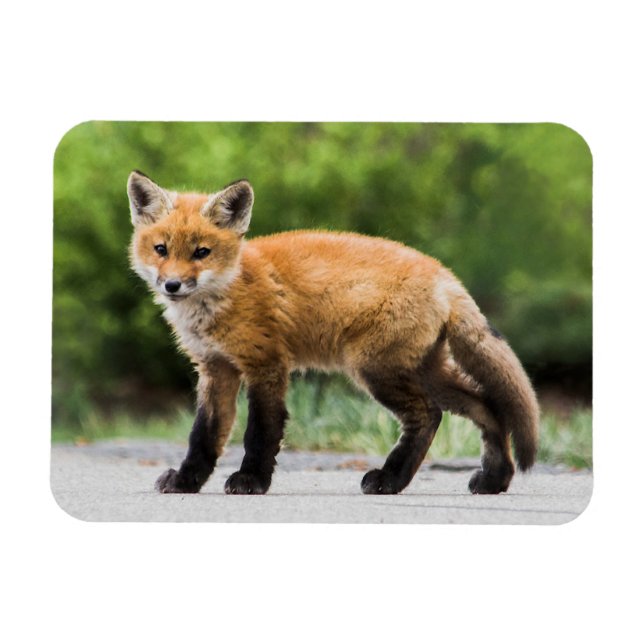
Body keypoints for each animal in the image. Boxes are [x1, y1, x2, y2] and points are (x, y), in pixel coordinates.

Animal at [127, 170, 540, 496]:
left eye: (202, 252)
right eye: (161, 249)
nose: (173, 285)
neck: (227, 293)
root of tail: (444, 274)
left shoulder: (267, 365)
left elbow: (260, 433)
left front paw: (251, 481)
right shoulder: (216, 369)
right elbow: (204, 437)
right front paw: (186, 481)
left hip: (376, 369)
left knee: (429, 415)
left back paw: (389, 479)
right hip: (424, 370)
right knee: (485, 406)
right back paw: (492, 479)